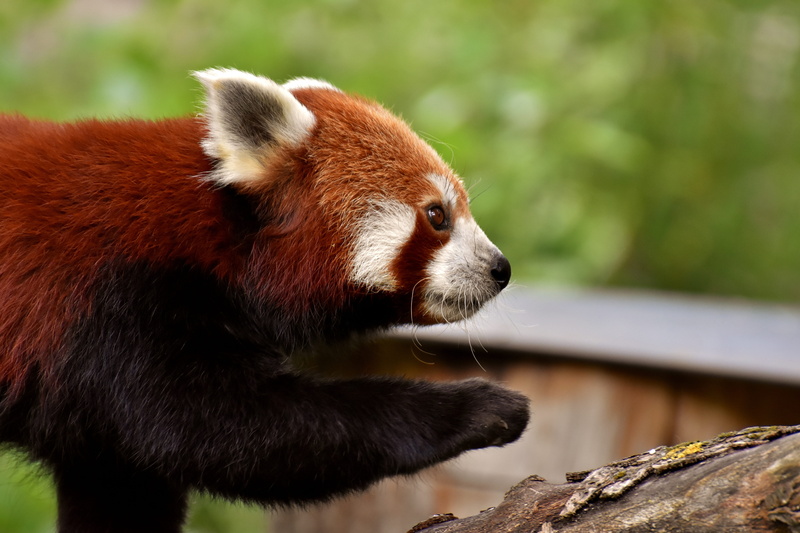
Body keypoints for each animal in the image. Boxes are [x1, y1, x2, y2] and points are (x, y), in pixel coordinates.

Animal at [0, 68, 530, 533]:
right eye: (437, 216)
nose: (500, 268)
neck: (211, 237)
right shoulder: (114, 307)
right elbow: (225, 431)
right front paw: (478, 407)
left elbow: (125, 481)